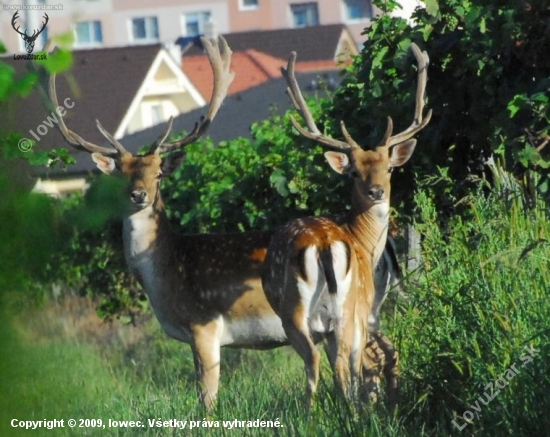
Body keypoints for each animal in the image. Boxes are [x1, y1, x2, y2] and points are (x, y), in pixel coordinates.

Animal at [260, 42, 434, 404]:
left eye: (389, 168)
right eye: (354, 172)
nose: (376, 191)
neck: (365, 243)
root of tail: (324, 244)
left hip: (311, 311)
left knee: (325, 360)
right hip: (338, 309)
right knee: (340, 361)